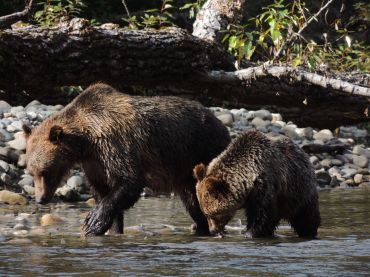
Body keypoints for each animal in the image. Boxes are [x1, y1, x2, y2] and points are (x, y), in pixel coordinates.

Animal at [23, 82, 230, 235]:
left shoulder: (115, 144)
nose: (40, 199)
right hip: (183, 171)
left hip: (202, 149)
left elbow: (129, 181)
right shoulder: (94, 163)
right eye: (32, 173)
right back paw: (201, 226)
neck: (86, 141)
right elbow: (102, 190)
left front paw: (93, 222)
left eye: (45, 172)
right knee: (192, 201)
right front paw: (113, 228)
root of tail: (220, 123)